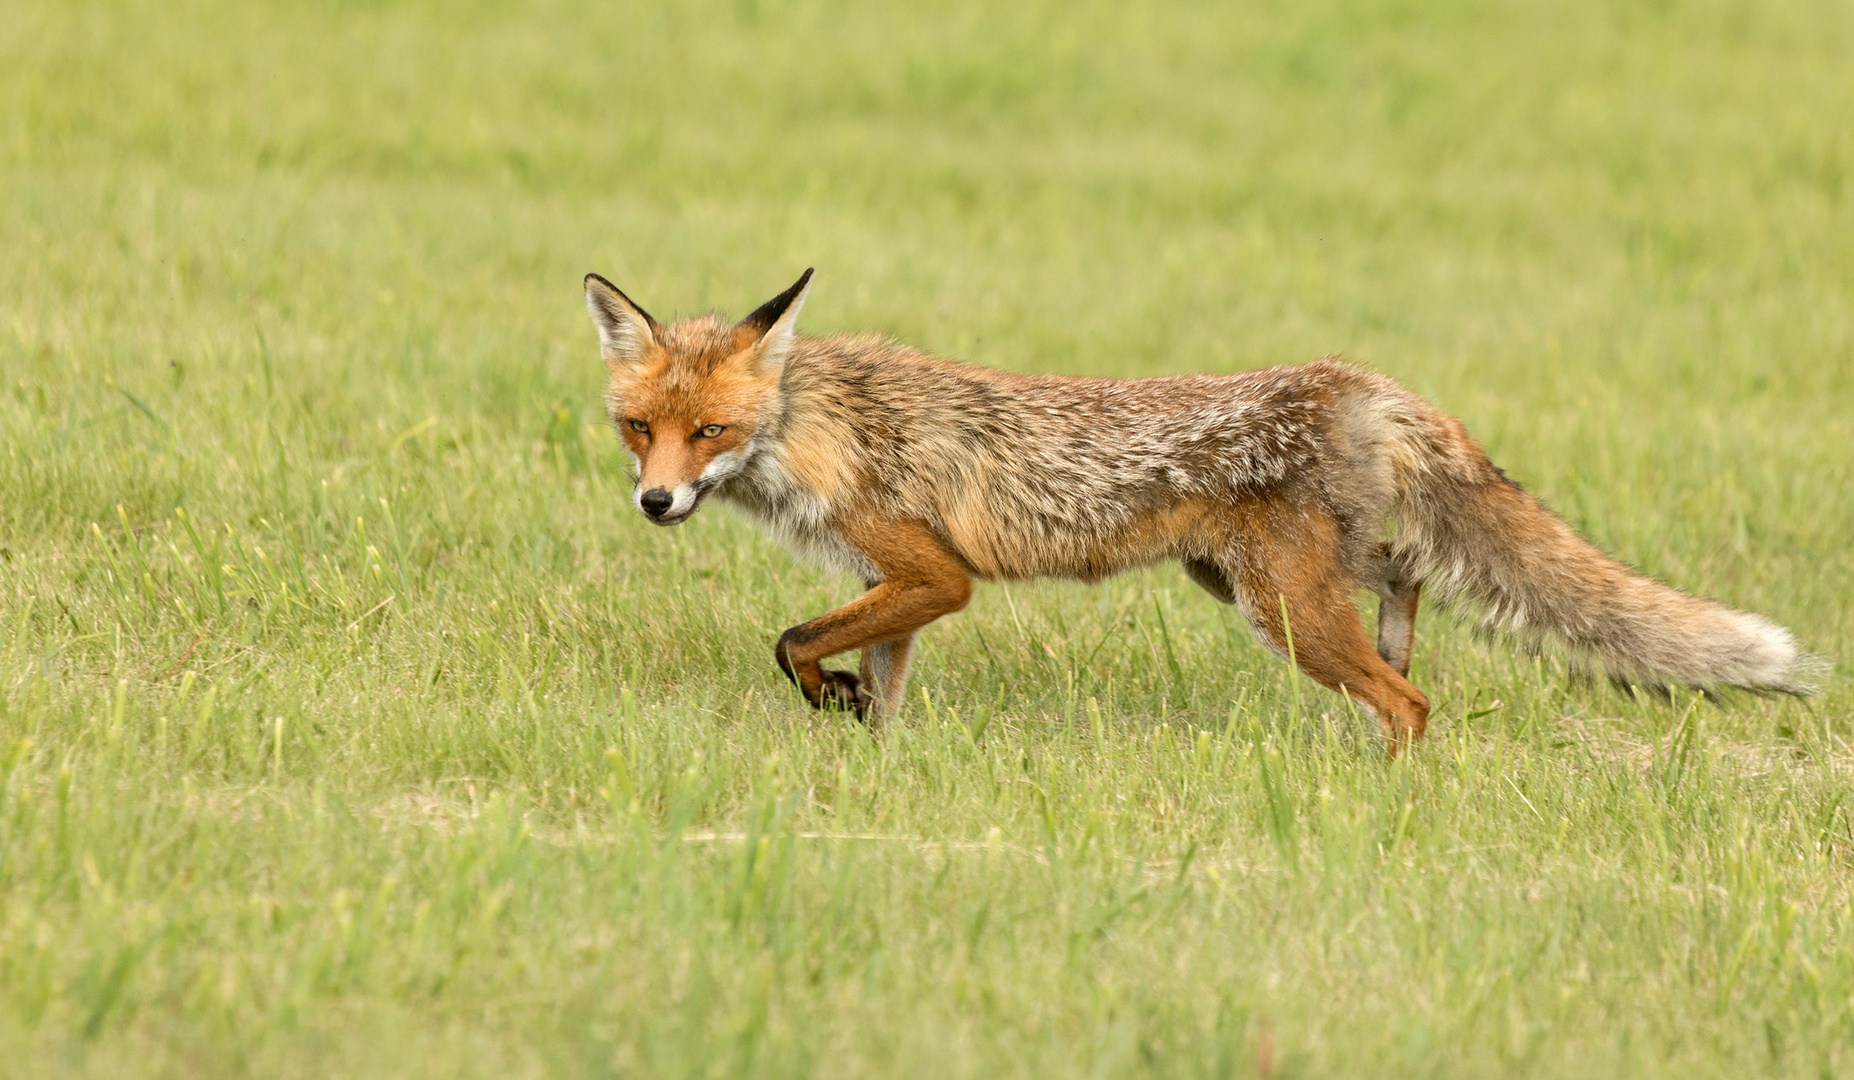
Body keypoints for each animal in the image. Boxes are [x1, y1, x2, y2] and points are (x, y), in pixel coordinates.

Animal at [585, 270, 1816, 752]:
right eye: (638, 428)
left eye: (711, 433)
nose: (654, 502)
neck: (816, 426)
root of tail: (1361, 382)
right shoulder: (898, 591)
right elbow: (876, 688)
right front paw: (869, 743)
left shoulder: (935, 575)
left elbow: (793, 642)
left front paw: (829, 699)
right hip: (1268, 584)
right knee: (1410, 586)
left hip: (1283, 610)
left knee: (1410, 701)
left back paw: (1387, 797)